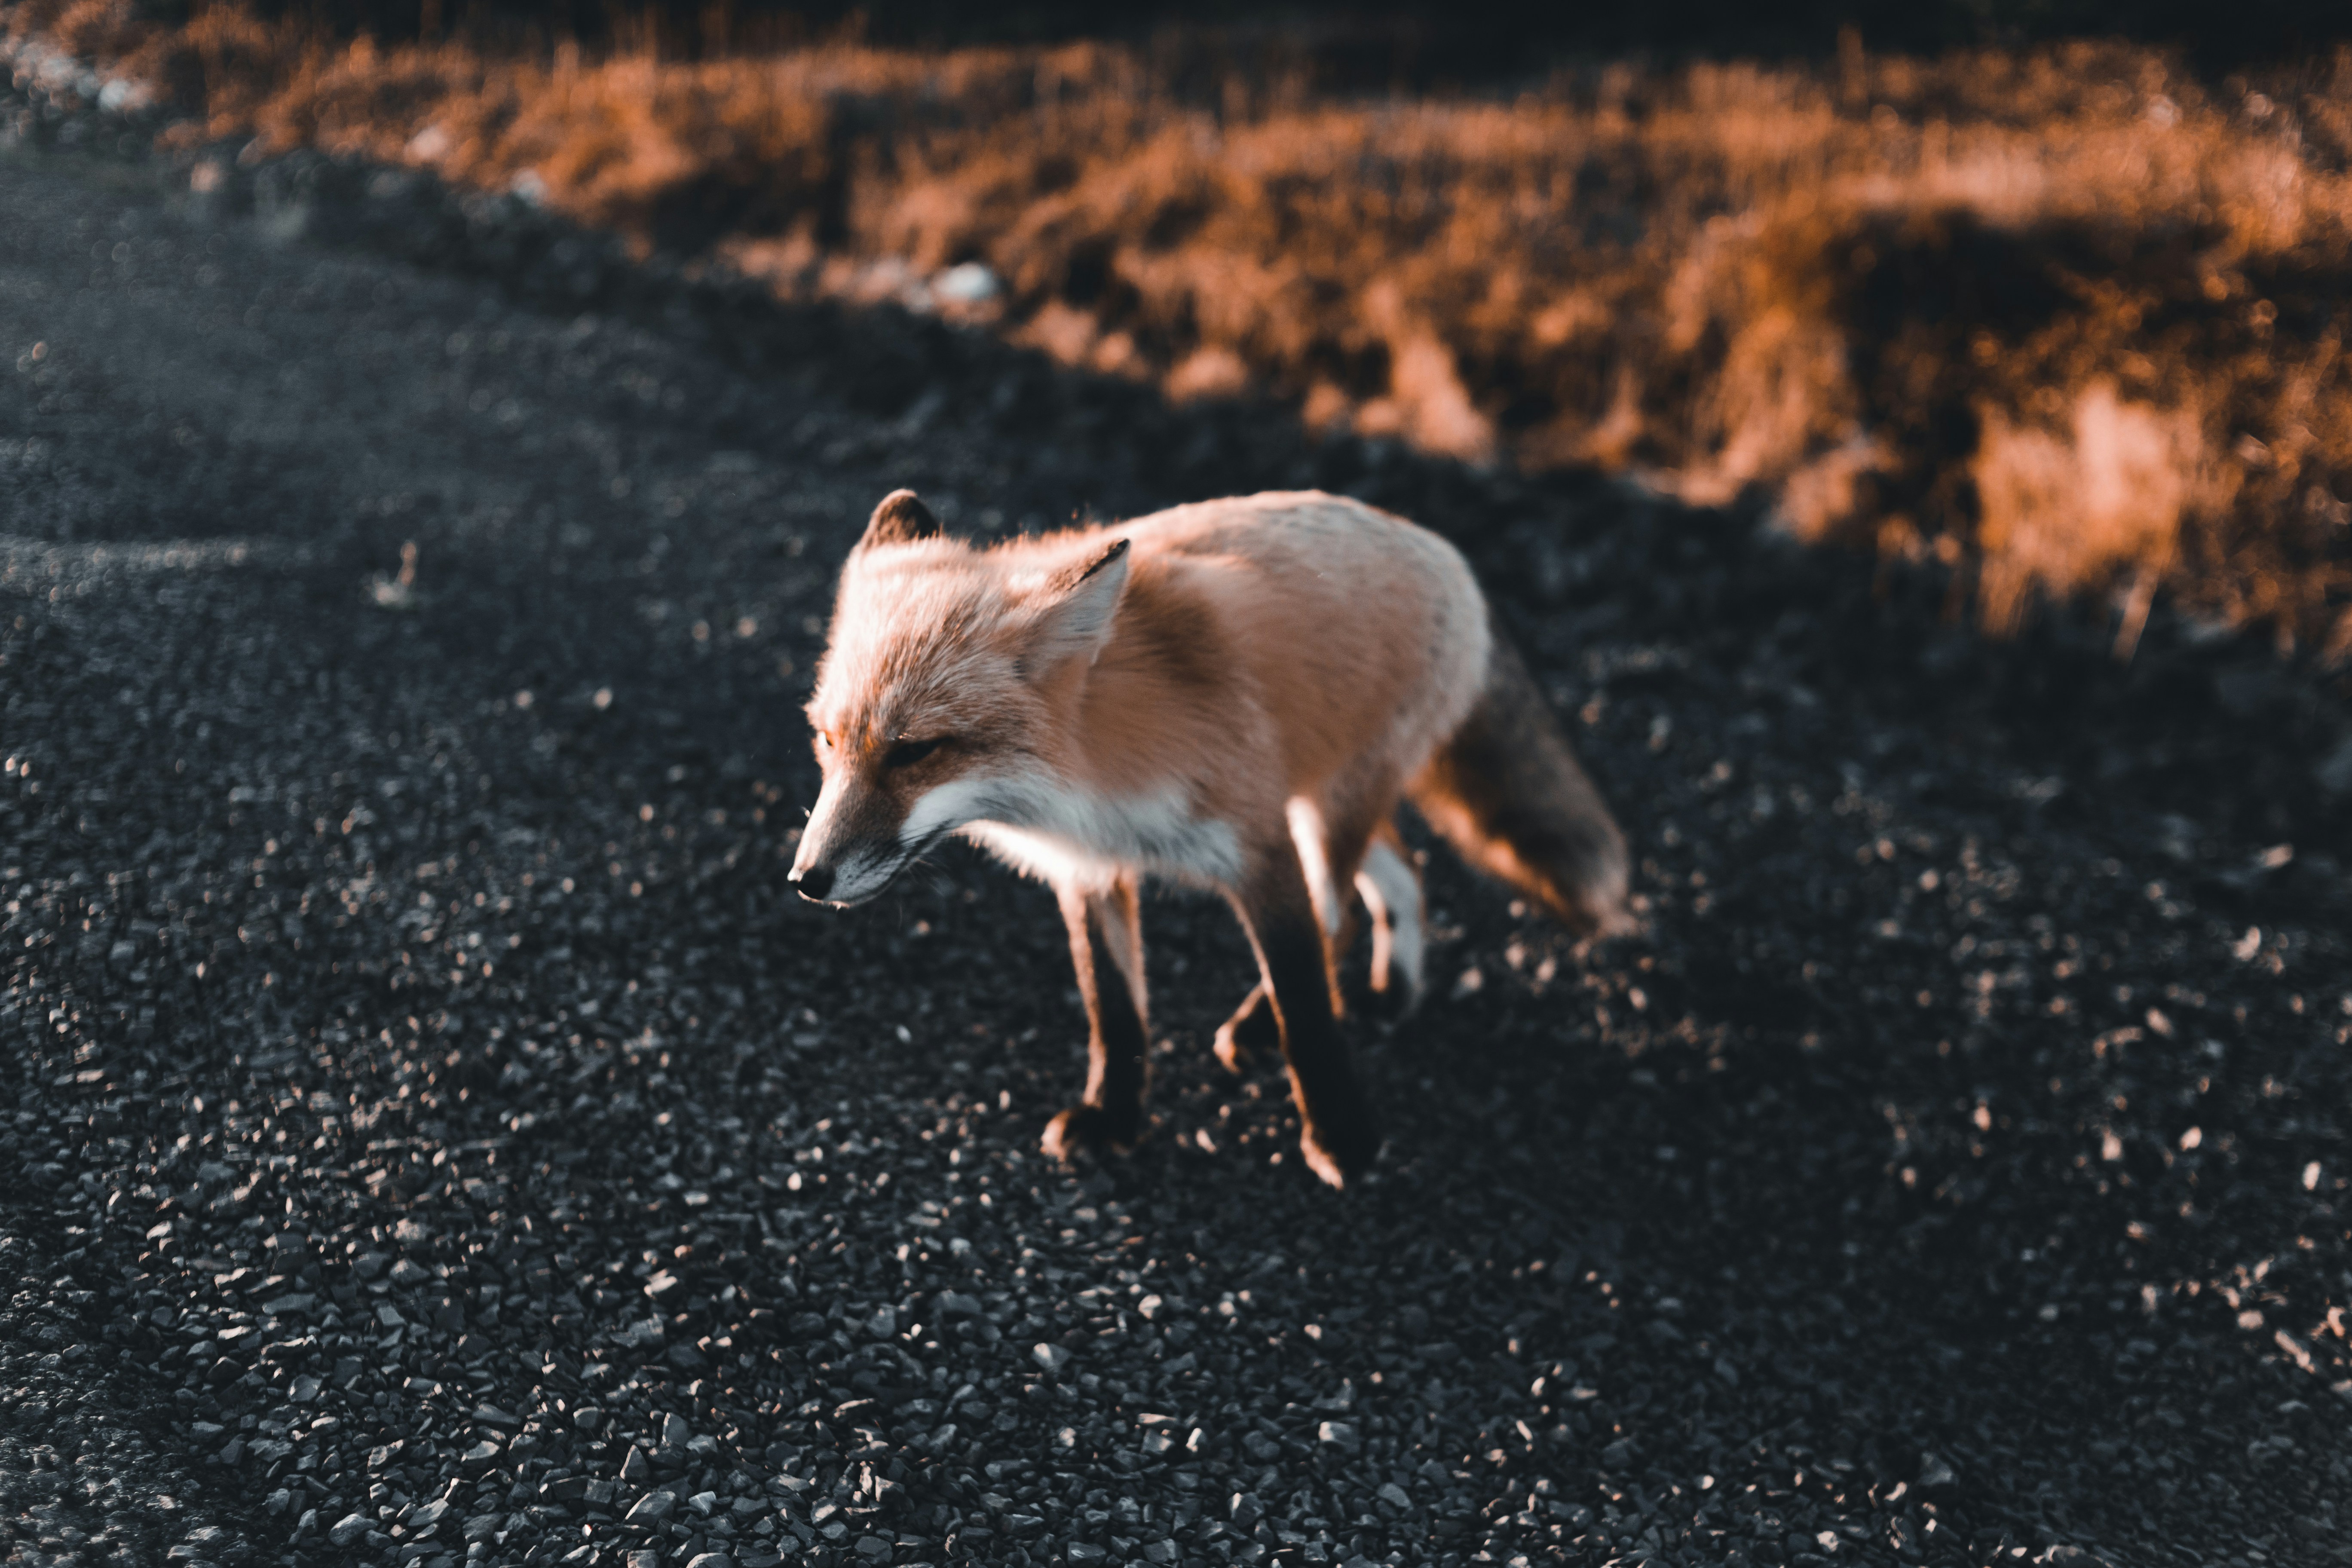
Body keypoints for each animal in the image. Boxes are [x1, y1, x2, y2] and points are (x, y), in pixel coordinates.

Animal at [789, 487, 1630, 1188]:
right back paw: (1391, 992)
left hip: (1326, 806)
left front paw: (1343, 1138)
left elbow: (1305, 1002)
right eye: (828, 741)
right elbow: (1115, 1013)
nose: (806, 879)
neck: (1087, 777)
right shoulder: (1088, 869)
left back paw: (1287, 1020)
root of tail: (1442, 550)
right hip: (1327, 799)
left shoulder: (1256, 843)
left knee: (1340, 909)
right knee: (1399, 876)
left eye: (914, 752)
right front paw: (1115, 1119)